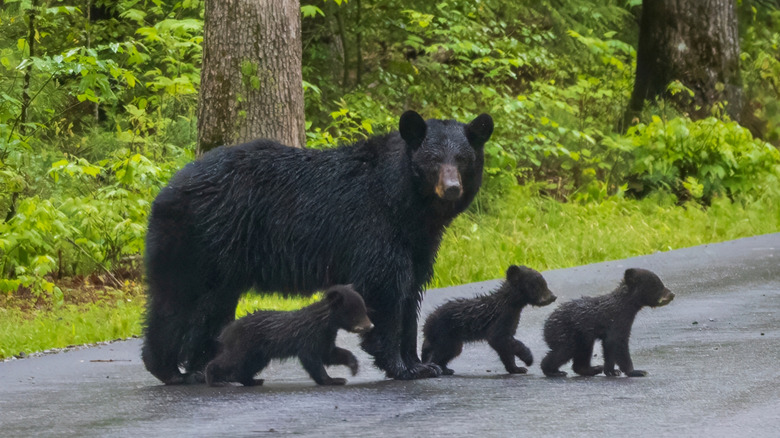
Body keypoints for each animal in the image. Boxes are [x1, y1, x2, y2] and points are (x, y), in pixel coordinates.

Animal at [206, 286, 374, 384]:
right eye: (356, 313)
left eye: (364, 310)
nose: (370, 326)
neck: (324, 322)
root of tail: (226, 331)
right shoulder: (309, 336)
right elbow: (311, 358)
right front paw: (333, 379)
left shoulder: (325, 337)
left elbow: (329, 354)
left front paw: (353, 366)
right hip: (244, 344)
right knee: (231, 360)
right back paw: (212, 377)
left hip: (259, 352)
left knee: (248, 365)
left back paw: (252, 380)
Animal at [420, 266, 556, 374]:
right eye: (538, 285)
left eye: (544, 283)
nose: (553, 297)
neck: (511, 304)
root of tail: (426, 324)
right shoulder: (501, 318)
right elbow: (498, 338)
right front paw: (528, 359)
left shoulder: (510, 322)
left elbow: (505, 347)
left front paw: (516, 368)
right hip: (445, 333)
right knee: (442, 351)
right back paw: (435, 367)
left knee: (450, 351)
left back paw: (445, 369)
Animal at [540, 268, 672, 378]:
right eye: (658, 285)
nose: (672, 294)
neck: (625, 305)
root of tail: (546, 325)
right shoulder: (618, 320)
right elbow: (617, 342)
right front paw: (636, 371)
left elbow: (609, 346)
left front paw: (612, 371)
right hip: (563, 332)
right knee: (565, 350)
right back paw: (553, 371)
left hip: (582, 337)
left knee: (583, 351)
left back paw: (593, 369)